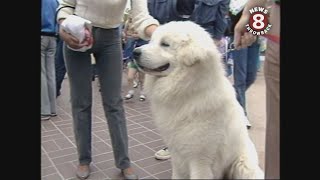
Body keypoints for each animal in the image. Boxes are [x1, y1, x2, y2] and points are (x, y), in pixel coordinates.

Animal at [133, 20, 264, 179]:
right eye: (151, 41)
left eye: (165, 44)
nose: (135, 52)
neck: (188, 91)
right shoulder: (177, 156)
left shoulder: (200, 160)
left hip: (243, 165)